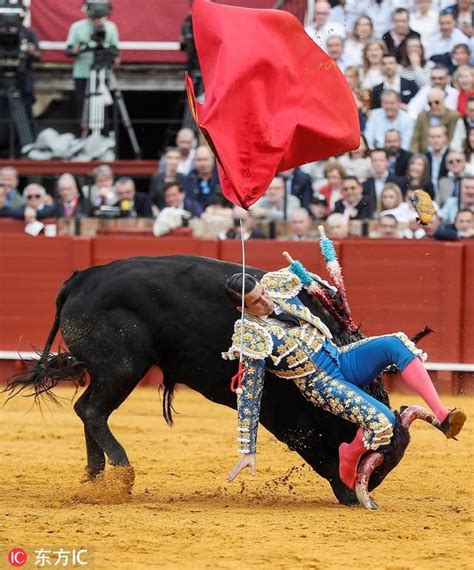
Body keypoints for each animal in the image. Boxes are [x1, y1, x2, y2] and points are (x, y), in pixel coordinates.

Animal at [7, 255, 414, 504]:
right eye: (374, 460)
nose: (356, 495)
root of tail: (81, 279)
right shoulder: (282, 410)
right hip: (123, 366)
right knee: (91, 410)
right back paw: (121, 474)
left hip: (113, 369)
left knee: (88, 410)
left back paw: (96, 479)